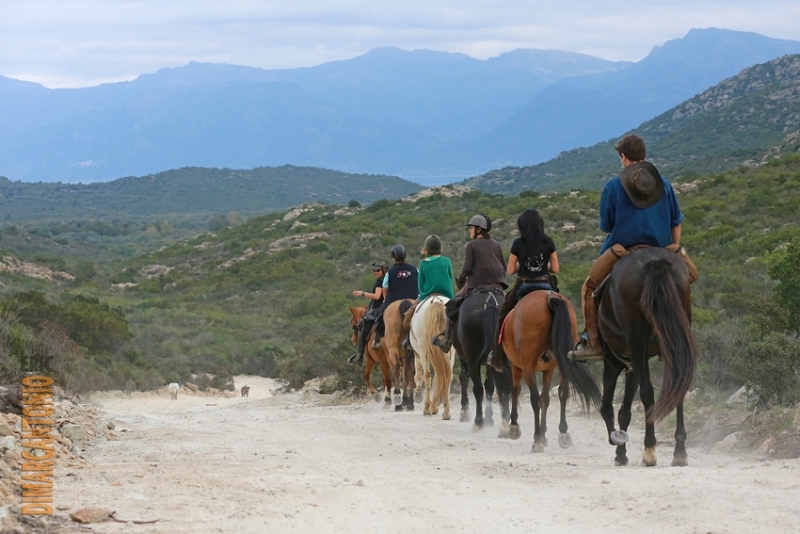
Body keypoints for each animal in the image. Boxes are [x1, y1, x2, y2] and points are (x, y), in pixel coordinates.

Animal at [456, 288, 512, 436]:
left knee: (478, 389)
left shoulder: (465, 358)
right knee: (503, 388)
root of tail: (490, 303)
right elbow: (490, 386)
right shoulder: (490, 363)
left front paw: (465, 412)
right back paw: (505, 423)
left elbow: (464, 377)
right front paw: (489, 418)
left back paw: (478, 421)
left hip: (472, 360)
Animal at [500, 292, 600, 454]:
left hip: (527, 366)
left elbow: (517, 390)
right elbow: (545, 399)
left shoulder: (518, 365)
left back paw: (536, 440)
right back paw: (563, 433)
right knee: (563, 392)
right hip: (562, 361)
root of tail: (549, 297)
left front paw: (515, 426)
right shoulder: (549, 369)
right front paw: (544, 434)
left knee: (534, 397)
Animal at [592, 248, 692, 468]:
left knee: (648, 392)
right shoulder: (634, 363)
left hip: (636, 342)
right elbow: (624, 411)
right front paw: (621, 451)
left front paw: (618, 447)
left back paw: (649, 451)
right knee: (678, 388)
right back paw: (679, 452)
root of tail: (655, 262)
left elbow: (608, 407)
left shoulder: (614, 362)